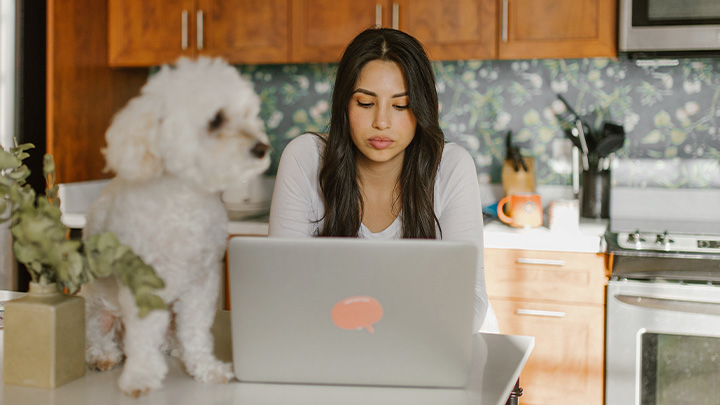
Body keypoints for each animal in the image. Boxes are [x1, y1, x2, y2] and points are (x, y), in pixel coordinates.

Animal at [79, 56, 270, 394]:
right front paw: (141, 377)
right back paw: (104, 354)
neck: (184, 201)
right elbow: (143, 337)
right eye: (216, 120)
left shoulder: (202, 283)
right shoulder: (143, 283)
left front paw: (205, 368)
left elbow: (196, 332)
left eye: (248, 115)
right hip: (95, 306)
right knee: (101, 337)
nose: (262, 147)